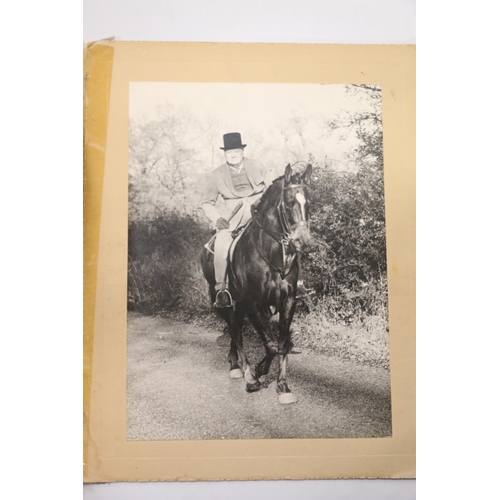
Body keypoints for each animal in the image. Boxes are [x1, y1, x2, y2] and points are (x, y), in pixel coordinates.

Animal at [200, 164, 312, 406]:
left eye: (309, 201)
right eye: (288, 202)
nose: (302, 239)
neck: (269, 253)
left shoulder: (287, 302)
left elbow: (280, 344)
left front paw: (282, 386)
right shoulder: (254, 304)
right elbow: (270, 344)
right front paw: (255, 375)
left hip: (240, 305)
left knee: (237, 328)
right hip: (223, 300)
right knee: (235, 330)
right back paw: (241, 371)